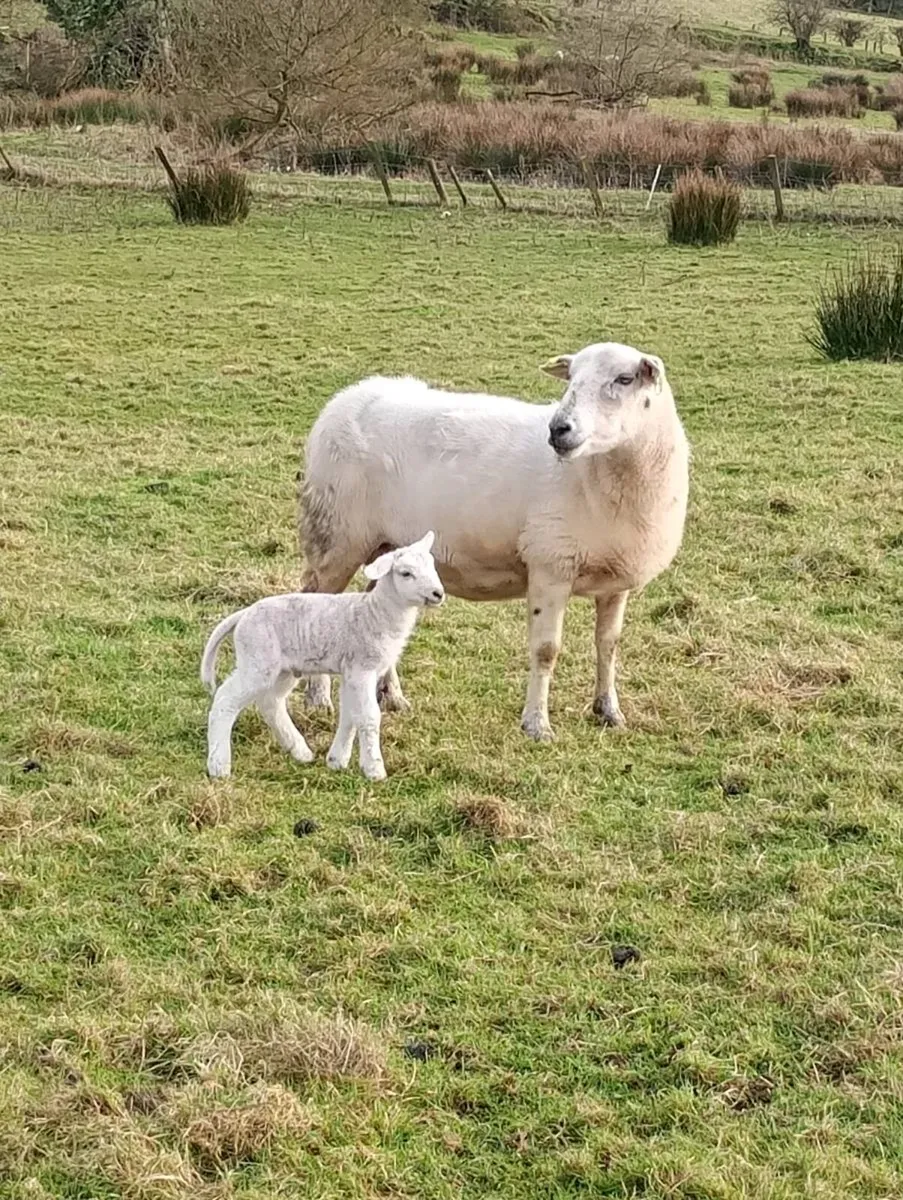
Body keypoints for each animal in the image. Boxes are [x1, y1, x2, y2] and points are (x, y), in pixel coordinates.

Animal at [201, 531, 444, 782]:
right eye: (406, 573)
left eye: (433, 566)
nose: (438, 593)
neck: (376, 613)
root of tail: (243, 614)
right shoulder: (362, 669)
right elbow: (368, 716)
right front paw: (374, 769)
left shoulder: (351, 672)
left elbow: (350, 715)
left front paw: (337, 760)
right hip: (256, 660)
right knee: (225, 699)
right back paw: (219, 766)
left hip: (283, 669)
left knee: (271, 702)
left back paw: (300, 751)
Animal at [298, 342, 689, 741]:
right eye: (571, 378)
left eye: (624, 379)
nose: (558, 429)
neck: (594, 474)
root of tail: (346, 398)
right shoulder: (550, 566)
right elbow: (546, 650)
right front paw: (537, 724)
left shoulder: (615, 582)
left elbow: (608, 645)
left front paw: (609, 711)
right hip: (335, 537)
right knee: (316, 601)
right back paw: (319, 698)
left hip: (387, 546)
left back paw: (390, 696)